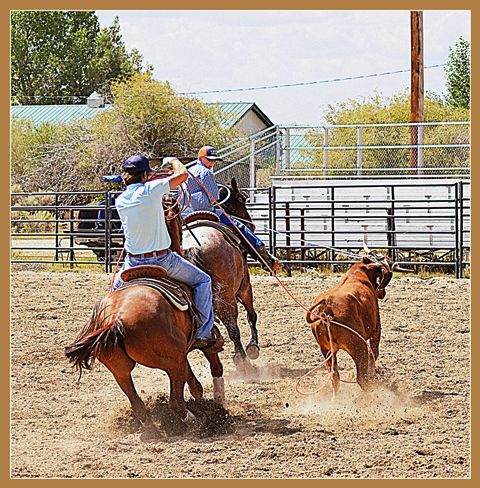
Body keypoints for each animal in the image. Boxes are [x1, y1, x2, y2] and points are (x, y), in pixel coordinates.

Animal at [63, 198, 225, 428]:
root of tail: (116, 321)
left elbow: (194, 382)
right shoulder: (200, 343)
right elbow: (213, 362)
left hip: (120, 370)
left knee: (138, 404)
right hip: (171, 362)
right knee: (176, 400)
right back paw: (196, 420)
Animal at [182, 179, 260, 366]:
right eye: (241, 199)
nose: (250, 224)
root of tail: (192, 246)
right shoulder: (245, 285)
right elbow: (251, 315)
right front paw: (253, 347)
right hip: (227, 296)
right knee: (233, 327)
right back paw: (244, 362)